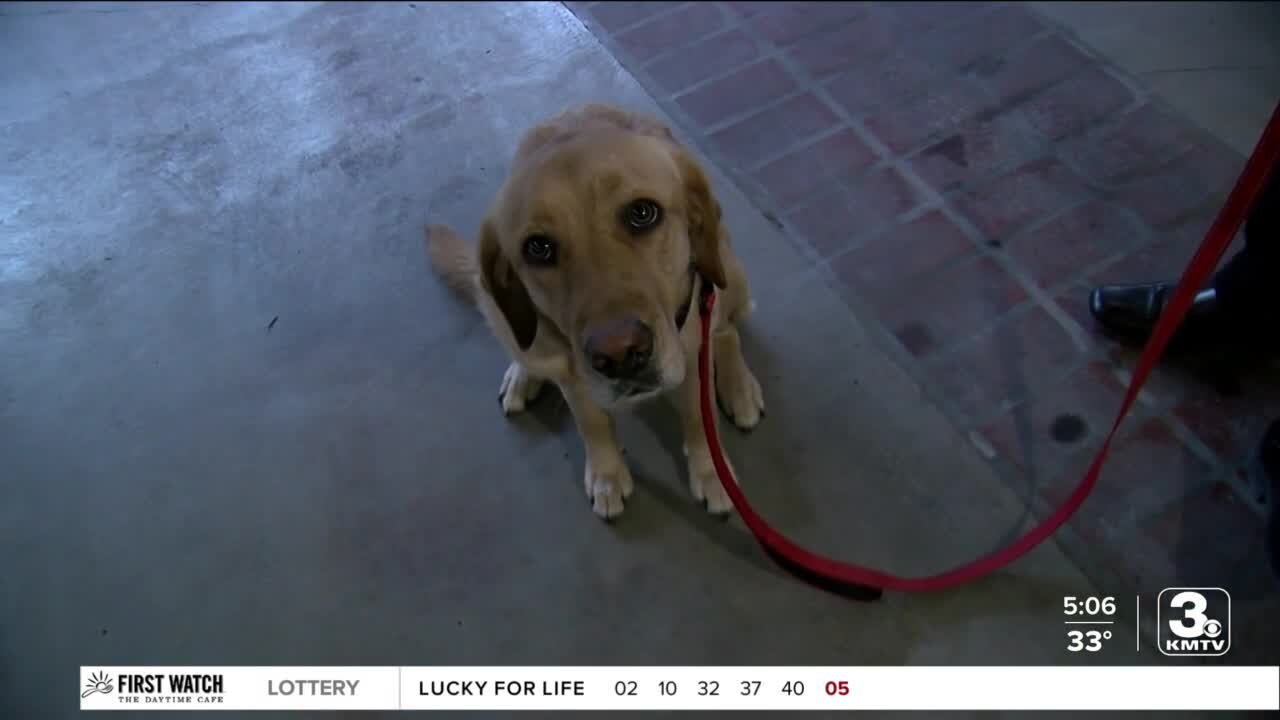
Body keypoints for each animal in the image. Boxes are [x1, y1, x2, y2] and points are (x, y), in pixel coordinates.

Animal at [424, 102, 762, 515]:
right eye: (538, 247)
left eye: (643, 212)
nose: (620, 354)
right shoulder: (571, 375)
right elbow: (592, 423)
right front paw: (606, 475)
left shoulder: (693, 344)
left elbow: (699, 416)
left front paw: (712, 473)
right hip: (495, 305)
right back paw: (523, 374)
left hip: (725, 270)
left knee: (727, 331)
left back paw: (738, 385)